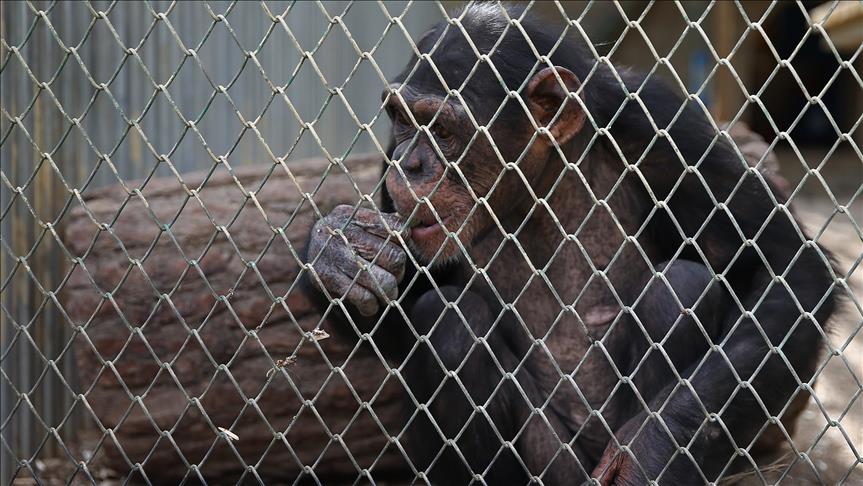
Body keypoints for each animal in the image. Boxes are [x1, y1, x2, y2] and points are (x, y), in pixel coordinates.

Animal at [304, 3, 837, 484]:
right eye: (401, 119)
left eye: (442, 129)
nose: (410, 164)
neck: (539, 182)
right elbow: (398, 306)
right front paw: (339, 253)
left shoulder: (665, 126)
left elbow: (787, 265)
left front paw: (653, 450)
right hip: (551, 464)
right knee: (451, 323)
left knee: (682, 285)